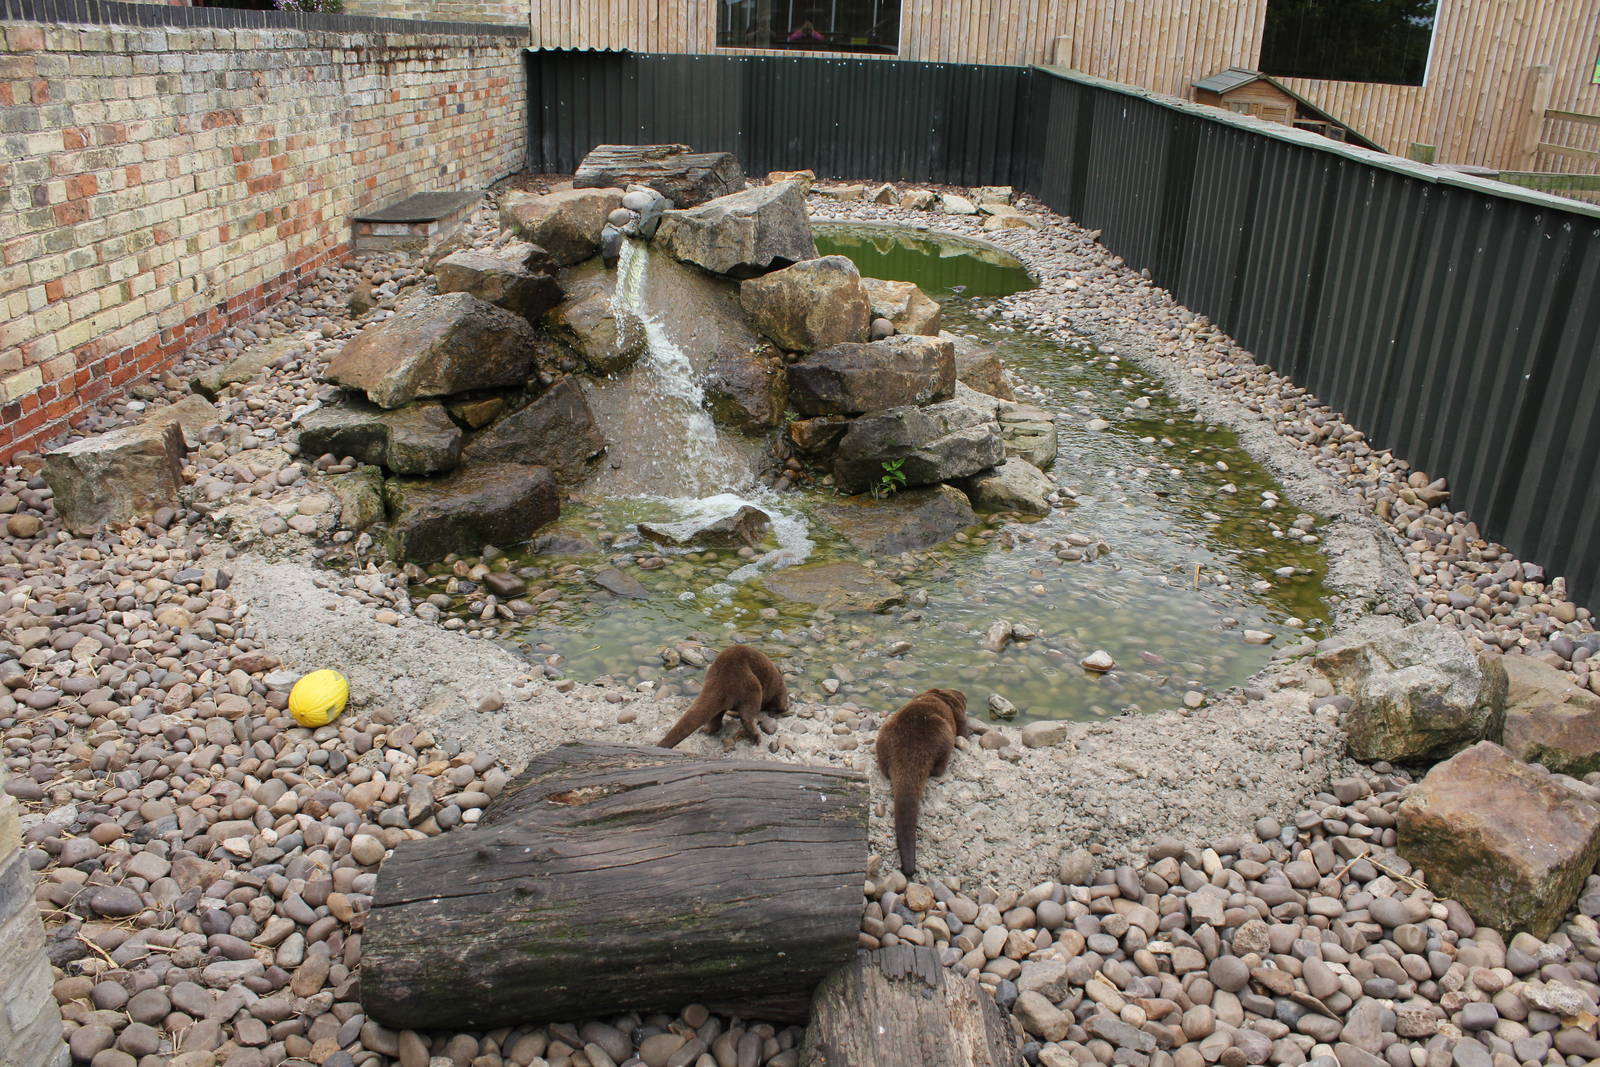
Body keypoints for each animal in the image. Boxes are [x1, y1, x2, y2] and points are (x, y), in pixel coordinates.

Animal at [658, 644, 789, 749]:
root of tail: (722, 680)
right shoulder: (779, 690)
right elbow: (781, 704)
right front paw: (783, 710)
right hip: (751, 687)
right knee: (748, 715)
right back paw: (756, 737)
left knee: (717, 717)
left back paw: (705, 730)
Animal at [875, 687, 972, 878]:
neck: (942, 695)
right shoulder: (958, 712)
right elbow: (964, 731)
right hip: (944, 736)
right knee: (940, 765)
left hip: (883, 737)